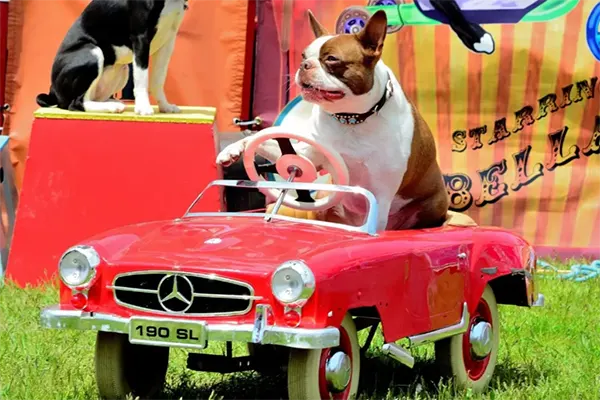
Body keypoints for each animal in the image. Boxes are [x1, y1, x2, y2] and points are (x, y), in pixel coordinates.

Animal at [36, 0, 186, 115]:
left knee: (91, 98)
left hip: (122, 70)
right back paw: (112, 106)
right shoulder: (141, 37)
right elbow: (141, 79)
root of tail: (52, 91)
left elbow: (158, 80)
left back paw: (112, 102)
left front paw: (165, 106)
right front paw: (143, 107)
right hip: (92, 52)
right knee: (76, 103)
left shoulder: (168, 40)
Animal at [217, 10, 450, 231]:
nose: (304, 64)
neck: (351, 120)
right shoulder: (307, 155)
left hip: (433, 204)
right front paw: (232, 149)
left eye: (331, 59)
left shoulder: (381, 192)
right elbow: (261, 139)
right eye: (303, 55)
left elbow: (374, 215)